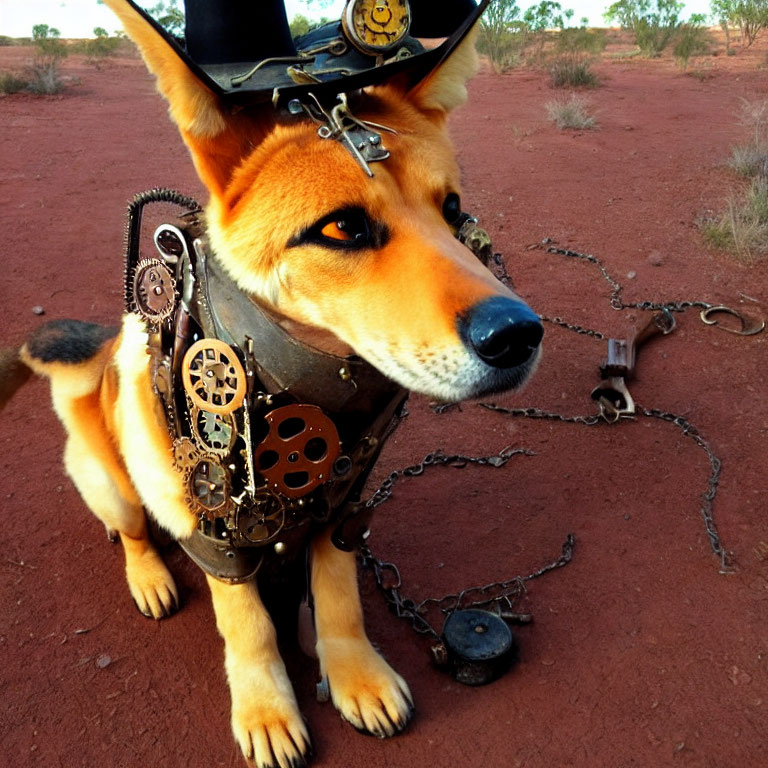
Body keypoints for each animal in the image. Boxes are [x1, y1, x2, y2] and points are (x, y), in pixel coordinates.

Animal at [0, 3, 540, 764]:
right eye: (341, 227)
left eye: (454, 210)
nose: (520, 334)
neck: (313, 389)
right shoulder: (215, 526)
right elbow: (248, 622)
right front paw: (266, 710)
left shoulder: (347, 505)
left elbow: (340, 593)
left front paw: (353, 671)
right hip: (113, 480)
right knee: (133, 532)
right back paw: (151, 576)